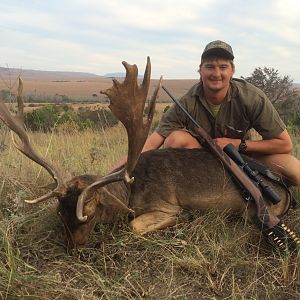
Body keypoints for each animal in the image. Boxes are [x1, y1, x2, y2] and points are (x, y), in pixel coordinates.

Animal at [0, 57, 298, 252]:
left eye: (91, 212)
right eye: (60, 212)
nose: (73, 248)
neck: (131, 191)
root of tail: (285, 194)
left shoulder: (165, 204)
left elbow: (135, 225)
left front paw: (181, 220)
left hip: (255, 211)